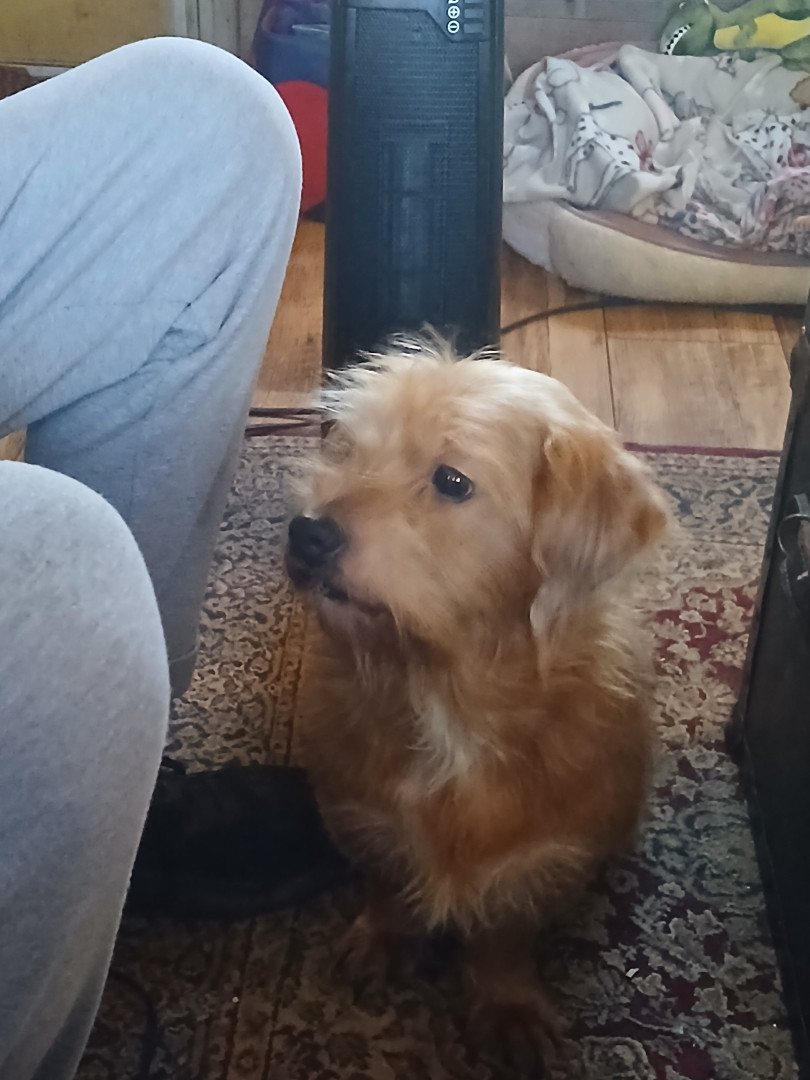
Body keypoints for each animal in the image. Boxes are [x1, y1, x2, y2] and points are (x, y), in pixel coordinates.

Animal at [285, 336, 668, 1072]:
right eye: (347, 449)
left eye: (452, 481)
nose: (306, 534)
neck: (447, 697)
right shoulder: (363, 814)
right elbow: (387, 880)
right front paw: (384, 934)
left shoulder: (540, 858)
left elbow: (504, 935)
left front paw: (506, 1003)